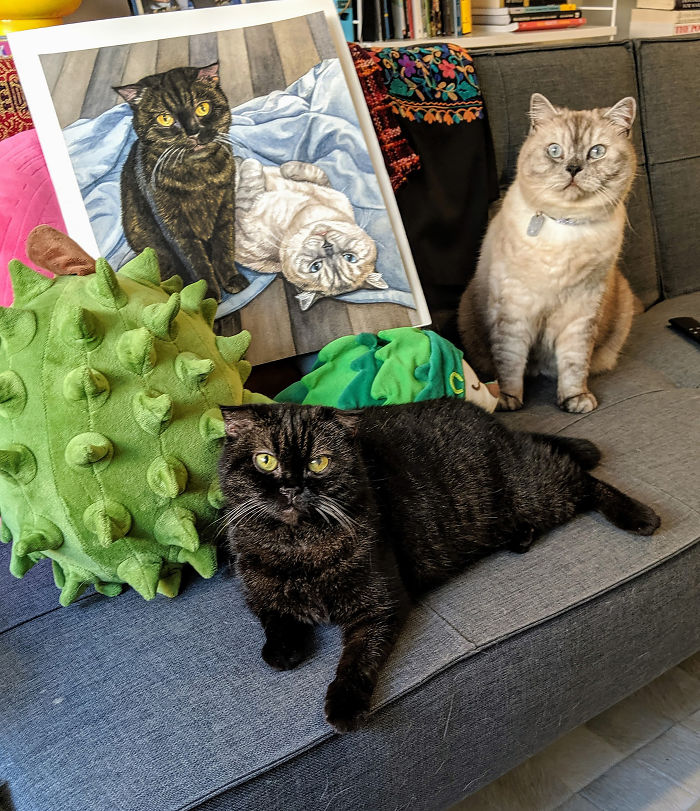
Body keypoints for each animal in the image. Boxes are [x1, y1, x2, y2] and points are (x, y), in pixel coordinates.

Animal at [115, 63, 248, 301]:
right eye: (165, 118)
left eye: (202, 108)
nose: (193, 132)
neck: (199, 177)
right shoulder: (174, 225)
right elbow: (196, 261)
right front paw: (205, 296)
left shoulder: (225, 206)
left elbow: (224, 246)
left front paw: (231, 279)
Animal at [218, 398, 660, 733]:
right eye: (265, 461)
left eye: (319, 463)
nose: (292, 488)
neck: (300, 547)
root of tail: (495, 421)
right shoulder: (256, 590)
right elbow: (274, 618)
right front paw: (283, 649)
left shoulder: (379, 606)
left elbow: (357, 659)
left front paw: (344, 705)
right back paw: (521, 538)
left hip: (535, 491)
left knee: (581, 478)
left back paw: (639, 516)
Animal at [234, 157, 387, 311]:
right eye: (350, 258)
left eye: (316, 266)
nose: (327, 247)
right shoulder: (327, 188)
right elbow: (315, 173)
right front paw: (286, 167)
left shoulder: (244, 219)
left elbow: (249, 180)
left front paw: (249, 163)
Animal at [457, 93, 639, 414]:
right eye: (555, 151)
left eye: (596, 152)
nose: (573, 168)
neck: (565, 227)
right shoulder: (514, 310)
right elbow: (510, 362)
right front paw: (508, 400)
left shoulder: (580, 311)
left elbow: (574, 363)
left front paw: (574, 400)